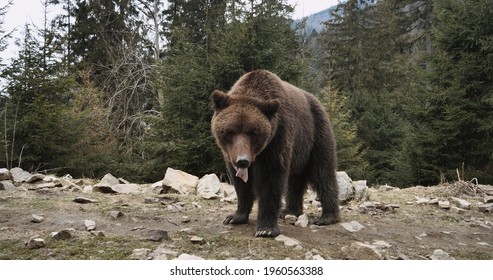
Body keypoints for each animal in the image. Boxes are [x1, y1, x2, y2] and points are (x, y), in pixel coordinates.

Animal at [208, 69, 338, 237]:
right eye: (230, 131)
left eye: (253, 132)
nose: (242, 160)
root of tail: (318, 102)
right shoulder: (232, 154)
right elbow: (240, 184)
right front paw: (235, 217)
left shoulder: (277, 138)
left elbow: (271, 180)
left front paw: (266, 229)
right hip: (299, 152)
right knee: (295, 179)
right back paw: (290, 210)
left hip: (316, 134)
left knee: (322, 172)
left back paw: (327, 216)